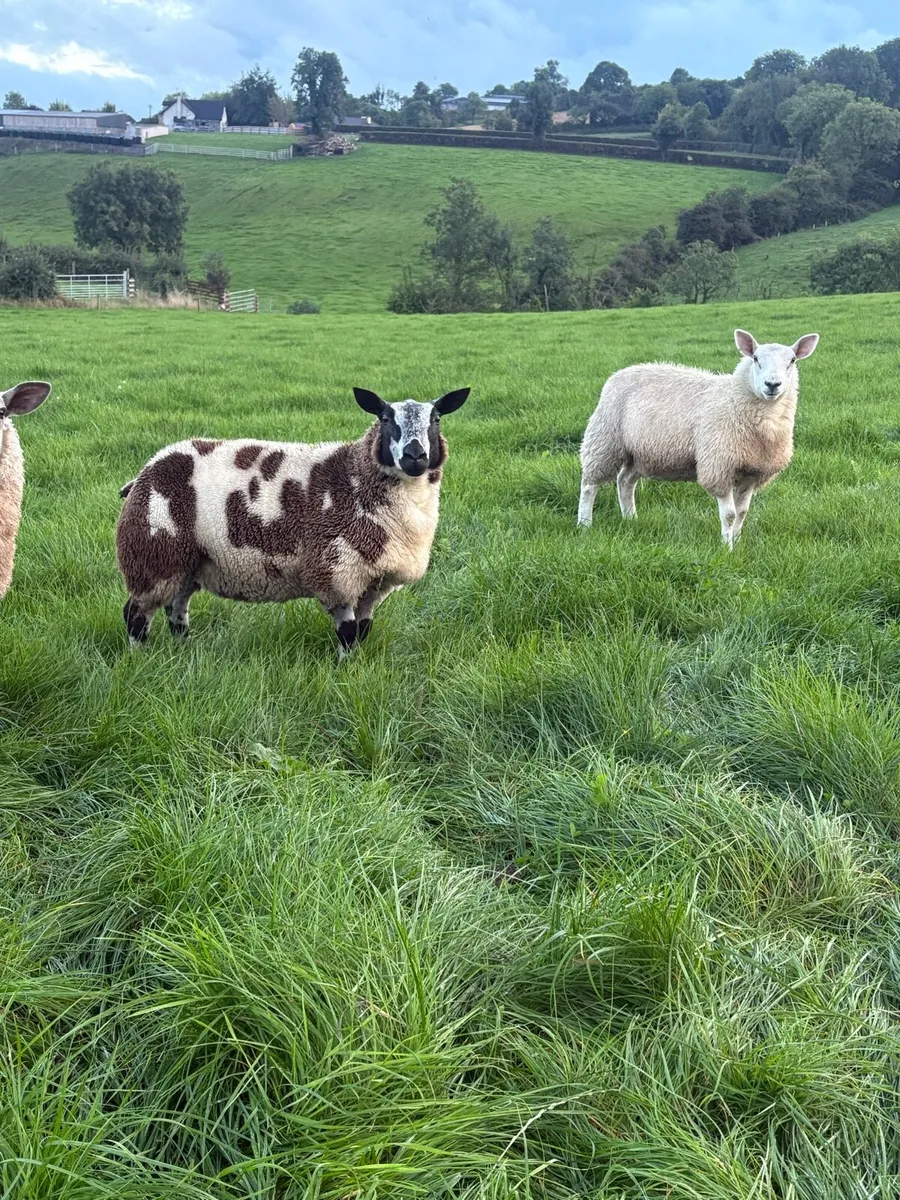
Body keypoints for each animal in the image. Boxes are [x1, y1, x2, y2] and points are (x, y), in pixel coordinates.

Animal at [115, 385, 470, 655]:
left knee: (176, 609)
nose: (415, 456)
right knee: (136, 613)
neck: (355, 480)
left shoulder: (375, 580)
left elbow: (364, 628)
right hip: (153, 552)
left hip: (187, 560)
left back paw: (184, 651)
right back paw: (139, 658)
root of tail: (145, 470)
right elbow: (348, 631)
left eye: (436, 418)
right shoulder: (335, 571)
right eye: (384, 418)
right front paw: (345, 670)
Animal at [577, 329, 819, 548]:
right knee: (589, 485)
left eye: (792, 360)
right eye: (756, 359)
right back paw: (584, 524)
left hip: (642, 452)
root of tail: (620, 372)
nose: (772, 384)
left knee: (625, 481)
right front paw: (727, 548)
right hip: (604, 439)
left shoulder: (752, 473)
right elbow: (730, 515)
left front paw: (738, 542)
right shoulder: (719, 467)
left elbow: (742, 513)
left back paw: (630, 518)